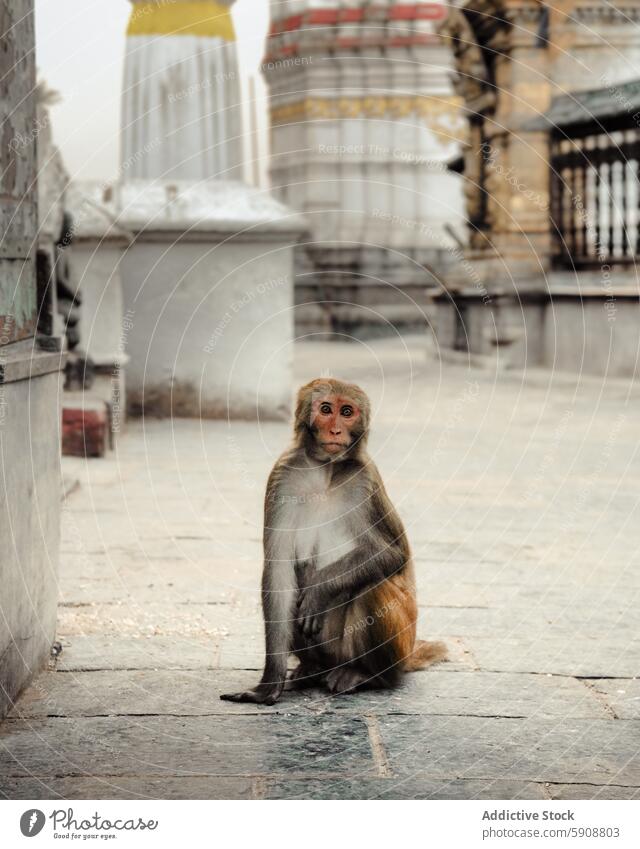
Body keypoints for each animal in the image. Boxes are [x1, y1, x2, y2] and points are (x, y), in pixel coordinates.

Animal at [220, 378, 444, 704]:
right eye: (326, 410)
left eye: (347, 412)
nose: (336, 430)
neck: (324, 471)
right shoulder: (283, 476)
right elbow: (279, 574)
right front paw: (268, 684)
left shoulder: (365, 483)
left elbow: (392, 555)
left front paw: (320, 590)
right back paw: (311, 669)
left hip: (395, 647)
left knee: (371, 587)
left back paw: (367, 675)